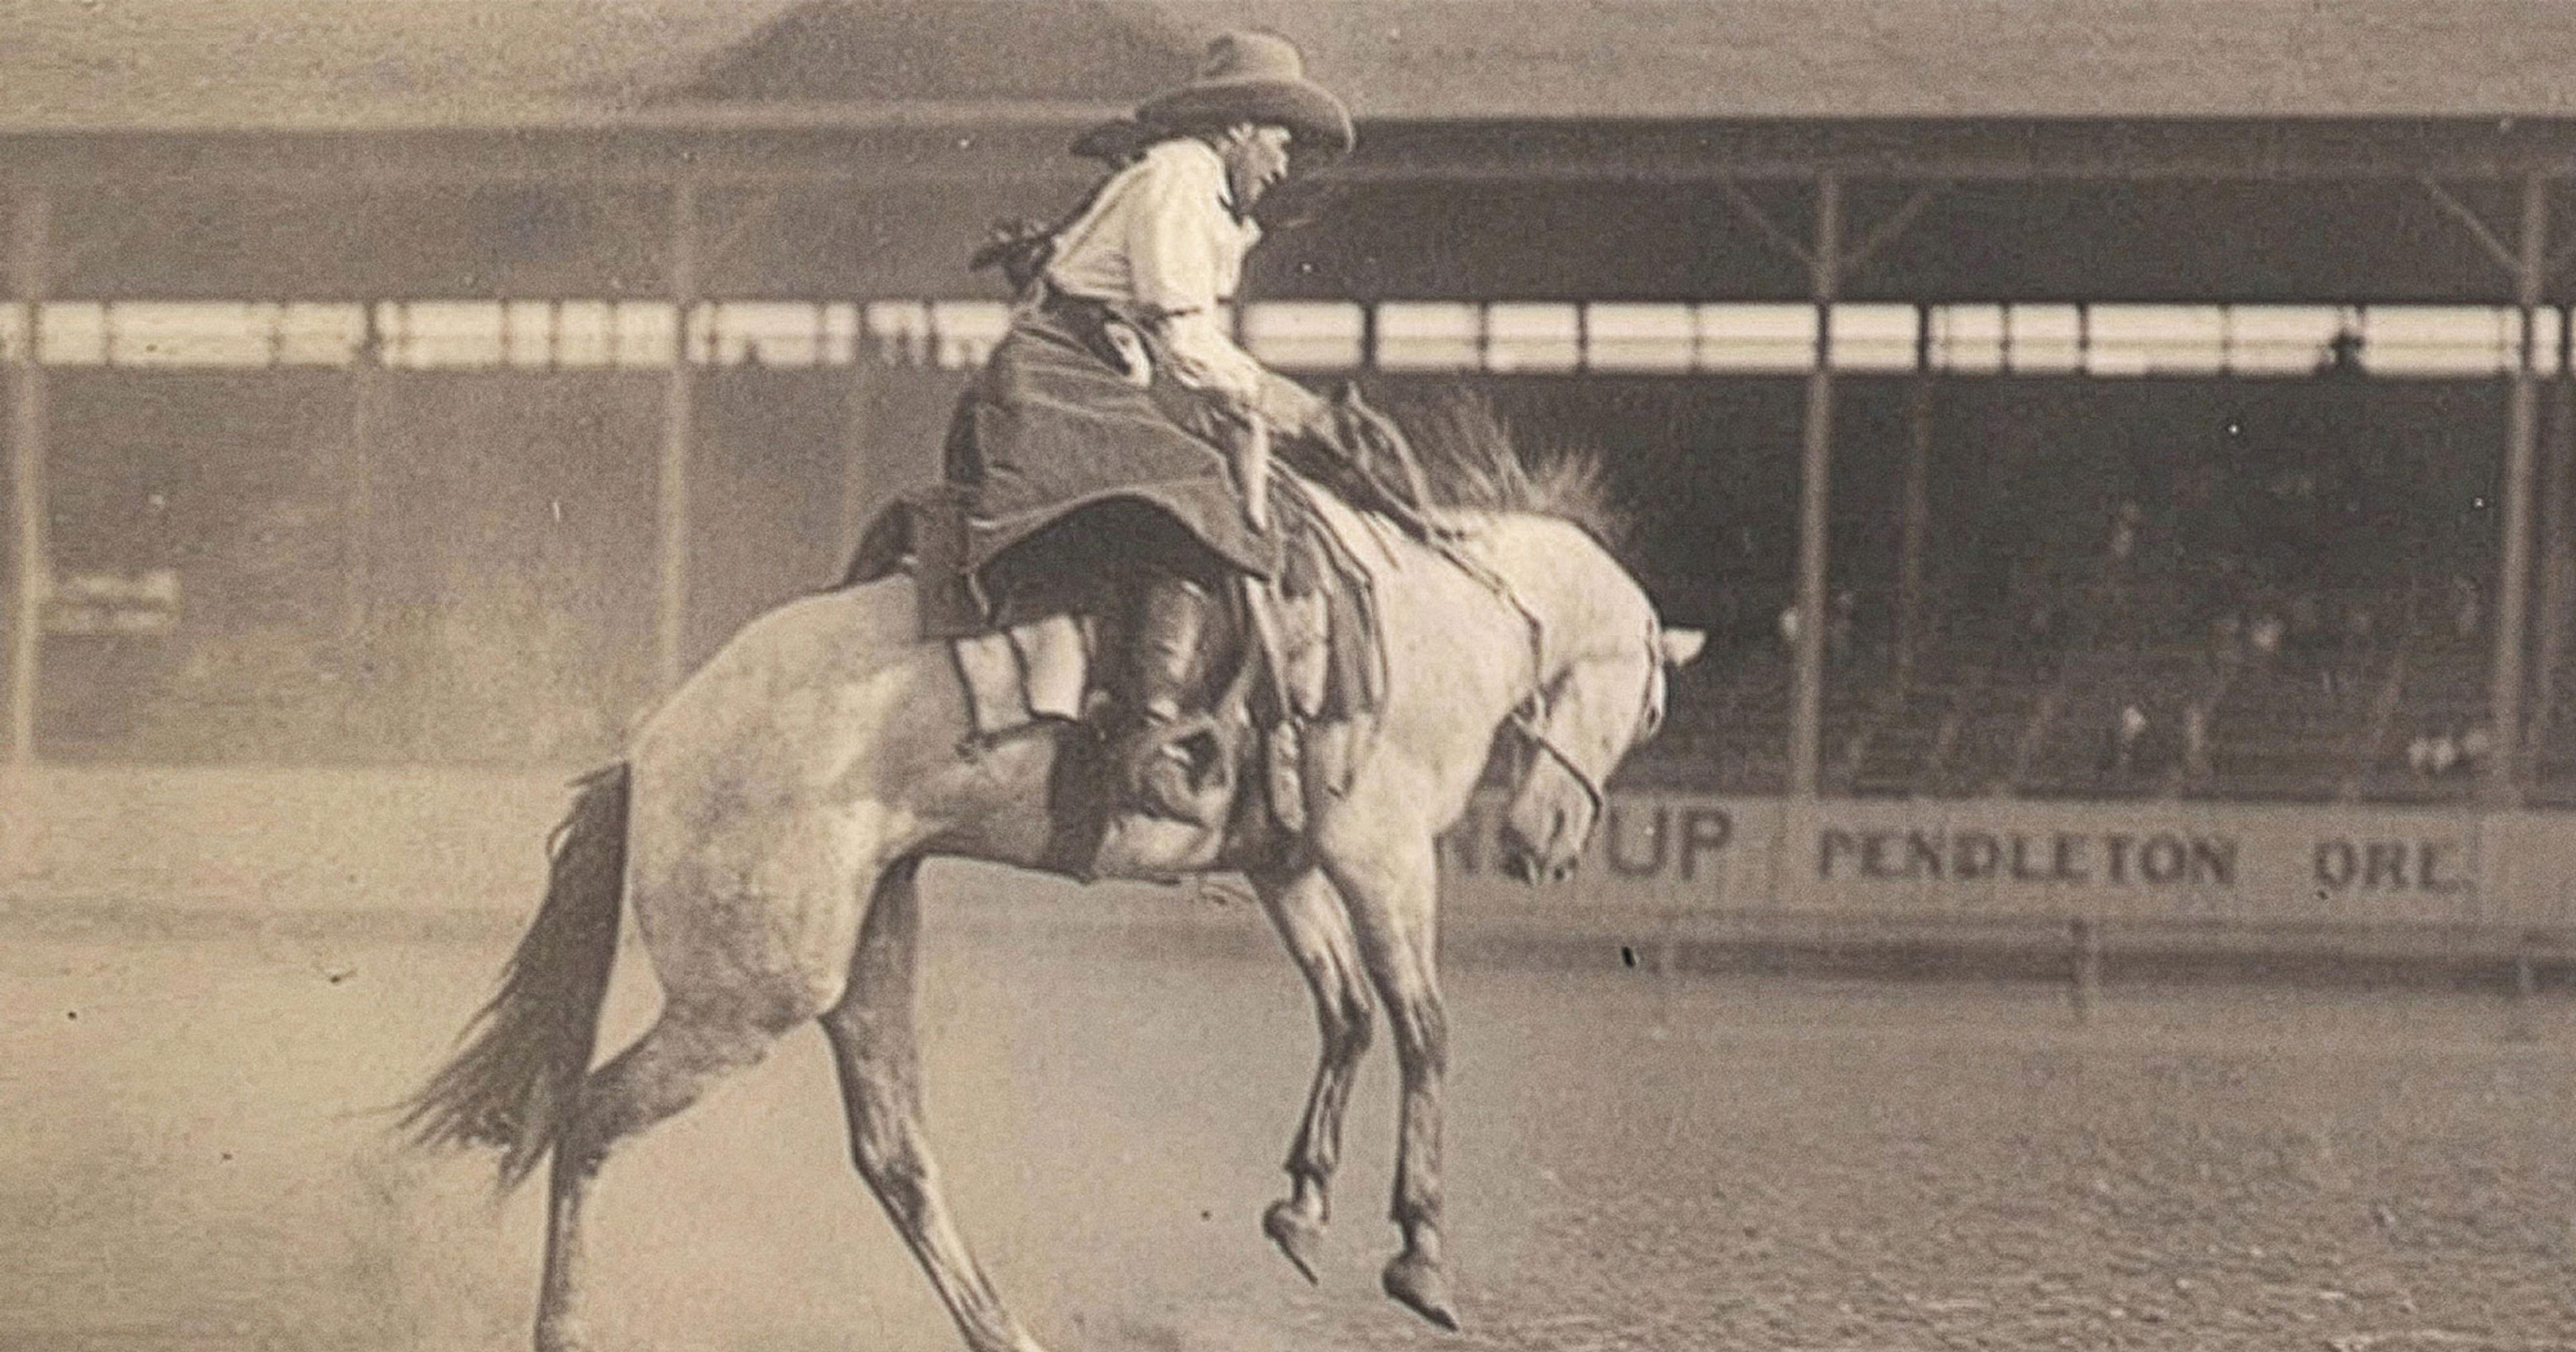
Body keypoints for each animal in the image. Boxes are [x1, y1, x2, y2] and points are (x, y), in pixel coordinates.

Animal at [406, 405, 1706, 1352]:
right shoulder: (1377, 855)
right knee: (591, 1121)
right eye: (1648, 709)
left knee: (897, 1158)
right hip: (750, 996)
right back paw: (566, 1328)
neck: (1432, 615)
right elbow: (1423, 1028)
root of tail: (656, 745)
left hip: (867, 949)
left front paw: (1302, 1206)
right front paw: (1420, 1253)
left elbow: (1345, 1016)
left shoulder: (1286, 862)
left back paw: (1007, 1330)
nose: (1547, 842)